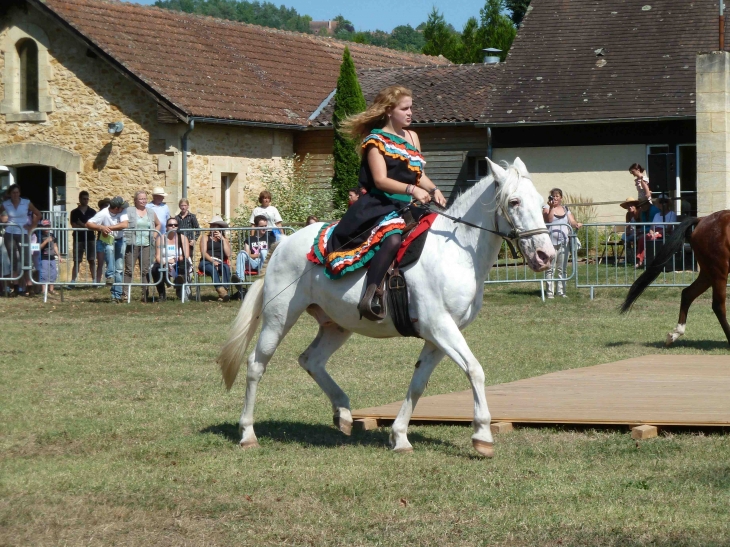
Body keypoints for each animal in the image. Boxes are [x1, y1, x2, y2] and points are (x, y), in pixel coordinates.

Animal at [216, 157, 552, 458]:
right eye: (514, 201)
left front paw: (400, 436)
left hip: (337, 325)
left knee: (311, 360)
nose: (546, 255)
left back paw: (343, 413)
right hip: (278, 318)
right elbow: (475, 370)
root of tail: (283, 243)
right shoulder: (440, 327)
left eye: (541, 203)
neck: (455, 254)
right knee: (256, 365)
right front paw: (482, 435)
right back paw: (247, 433)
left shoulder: (438, 336)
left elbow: (419, 383)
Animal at [616, 214, 728, 346]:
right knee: (718, 305)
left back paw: (675, 334)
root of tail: (702, 220)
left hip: (709, 273)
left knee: (688, 294)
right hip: (718, 271)